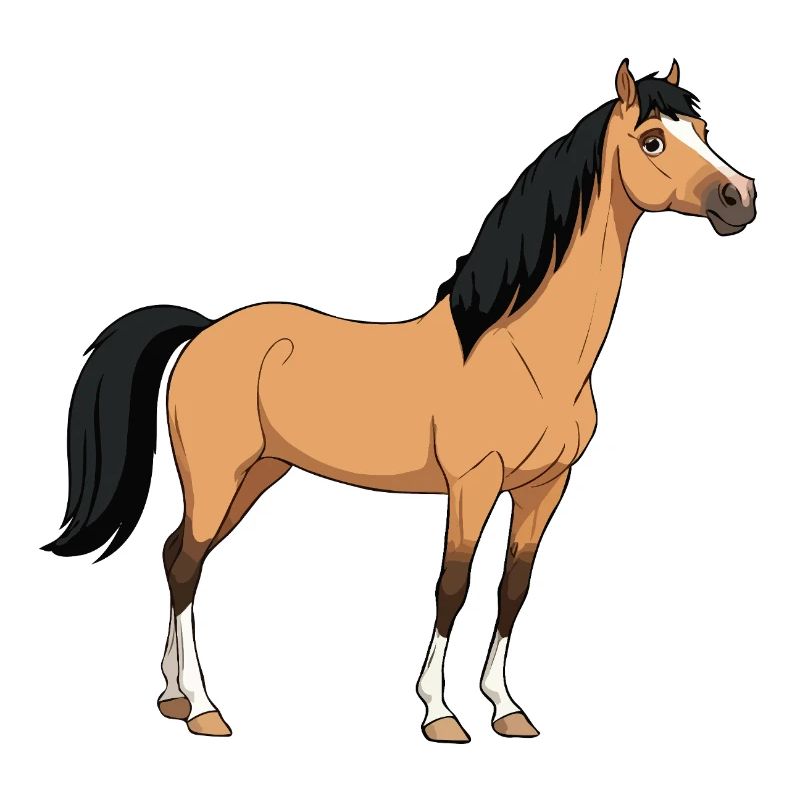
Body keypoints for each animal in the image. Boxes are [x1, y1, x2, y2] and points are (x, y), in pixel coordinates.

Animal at [44, 59, 756, 742]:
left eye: (706, 131)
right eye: (653, 140)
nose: (741, 197)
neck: (522, 350)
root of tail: (205, 330)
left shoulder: (546, 486)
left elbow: (513, 589)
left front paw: (505, 708)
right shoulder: (474, 482)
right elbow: (453, 586)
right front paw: (439, 713)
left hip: (258, 475)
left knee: (177, 555)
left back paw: (171, 697)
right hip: (219, 475)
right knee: (187, 565)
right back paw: (203, 709)